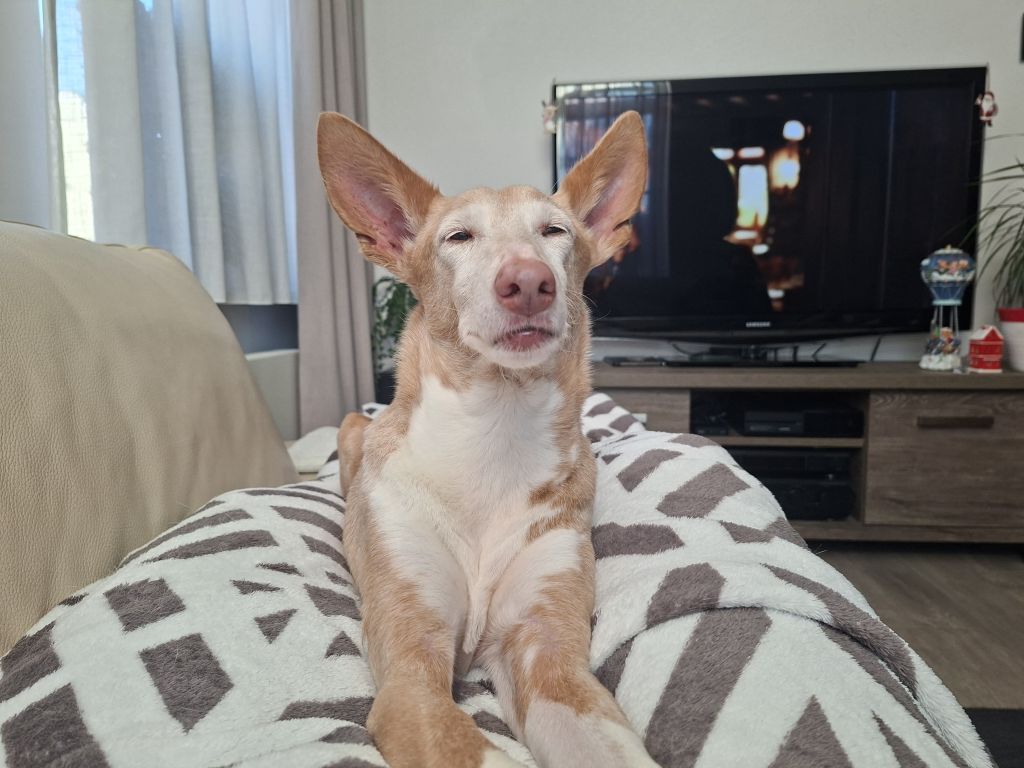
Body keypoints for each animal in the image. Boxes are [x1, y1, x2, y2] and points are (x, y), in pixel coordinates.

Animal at [318, 110, 658, 768]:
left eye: (554, 231)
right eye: (458, 238)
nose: (528, 282)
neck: (494, 433)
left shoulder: (549, 658)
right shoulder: (410, 672)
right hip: (351, 429)